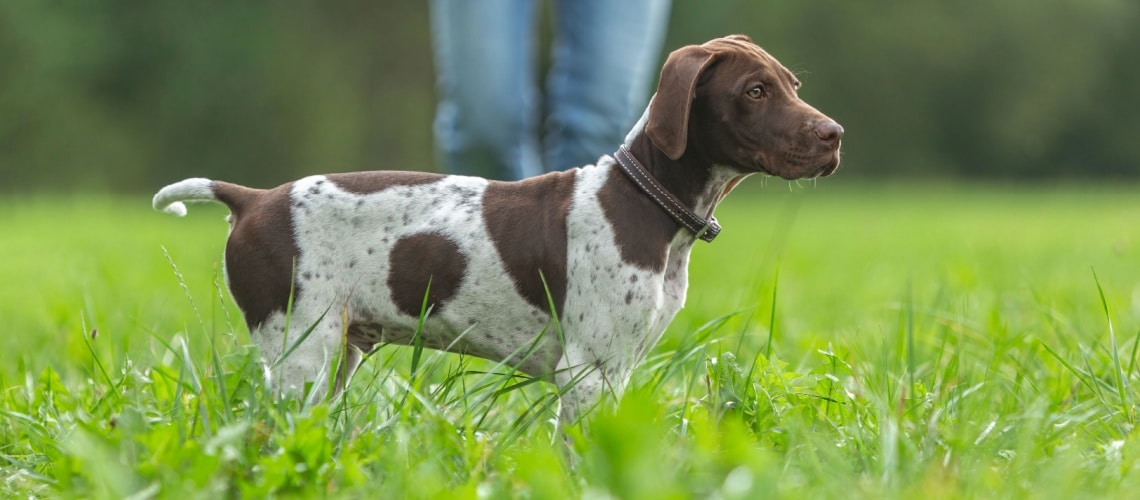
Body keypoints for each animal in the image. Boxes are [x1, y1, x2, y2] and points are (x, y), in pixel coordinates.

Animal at [151, 36, 843, 423]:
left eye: (791, 86)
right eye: (755, 91)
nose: (835, 135)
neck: (647, 205)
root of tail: (253, 200)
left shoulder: (619, 370)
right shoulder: (589, 374)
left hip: (334, 352)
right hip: (300, 354)